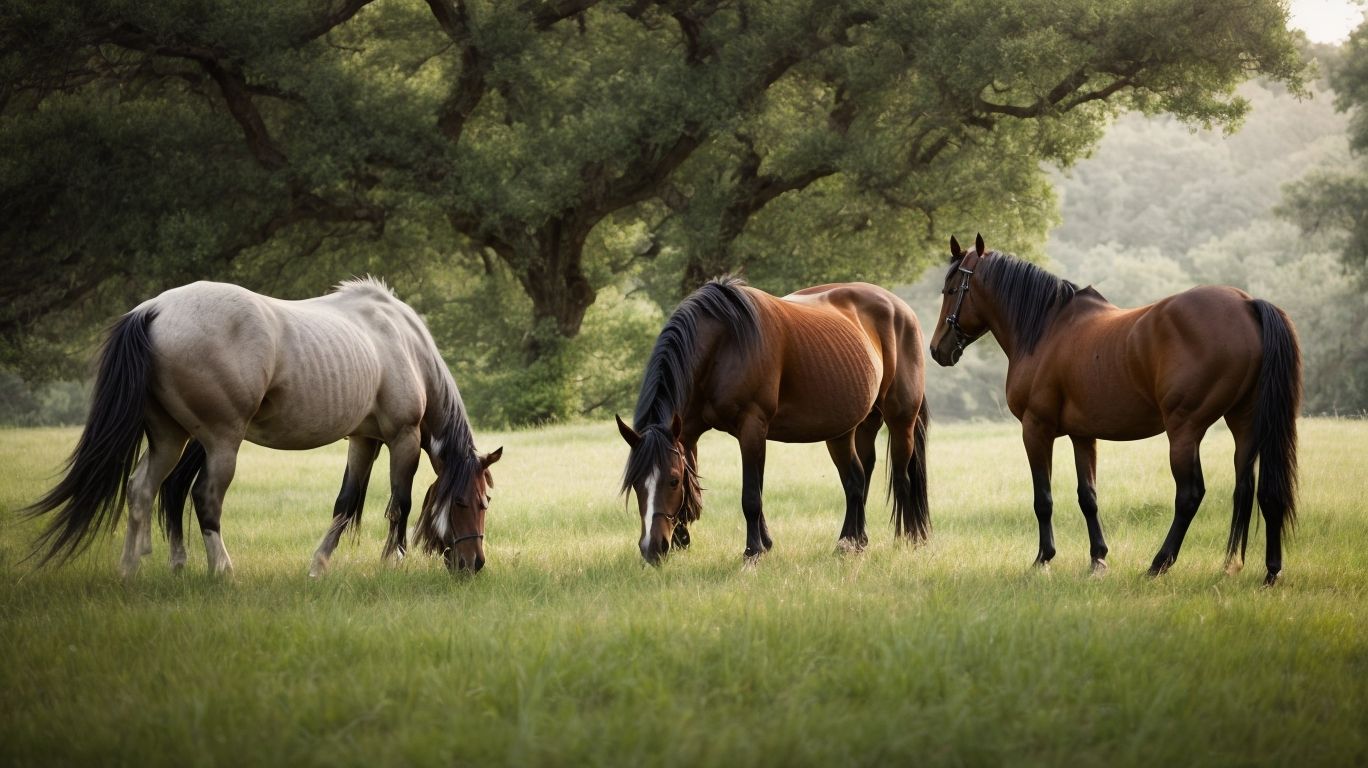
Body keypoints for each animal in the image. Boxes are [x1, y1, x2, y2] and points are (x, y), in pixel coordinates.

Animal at [24, 277, 501, 577]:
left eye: (485, 502)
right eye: (468, 502)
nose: (473, 564)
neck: (403, 343)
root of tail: (153, 309)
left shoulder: (363, 439)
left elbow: (344, 503)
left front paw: (318, 566)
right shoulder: (403, 438)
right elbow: (399, 505)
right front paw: (392, 564)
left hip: (170, 437)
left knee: (143, 490)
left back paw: (133, 569)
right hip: (220, 441)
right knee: (204, 497)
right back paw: (223, 571)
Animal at [616, 276, 929, 565]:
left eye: (671, 481)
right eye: (635, 482)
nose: (652, 549)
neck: (723, 342)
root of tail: (901, 309)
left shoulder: (752, 427)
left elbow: (751, 496)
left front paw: (753, 551)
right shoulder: (688, 432)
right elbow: (703, 488)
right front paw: (686, 539)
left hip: (900, 421)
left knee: (901, 480)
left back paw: (908, 539)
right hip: (847, 429)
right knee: (857, 479)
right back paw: (852, 541)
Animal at [928, 235, 1300, 585]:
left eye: (951, 289)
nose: (936, 349)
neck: (1046, 330)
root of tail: (1247, 304)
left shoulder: (1036, 429)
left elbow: (1043, 499)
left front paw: (1043, 559)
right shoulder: (1082, 435)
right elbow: (1088, 497)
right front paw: (1098, 559)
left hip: (1185, 430)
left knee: (1190, 496)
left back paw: (1158, 564)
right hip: (1245, 425)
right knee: (1256, 491)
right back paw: (1263, 569)